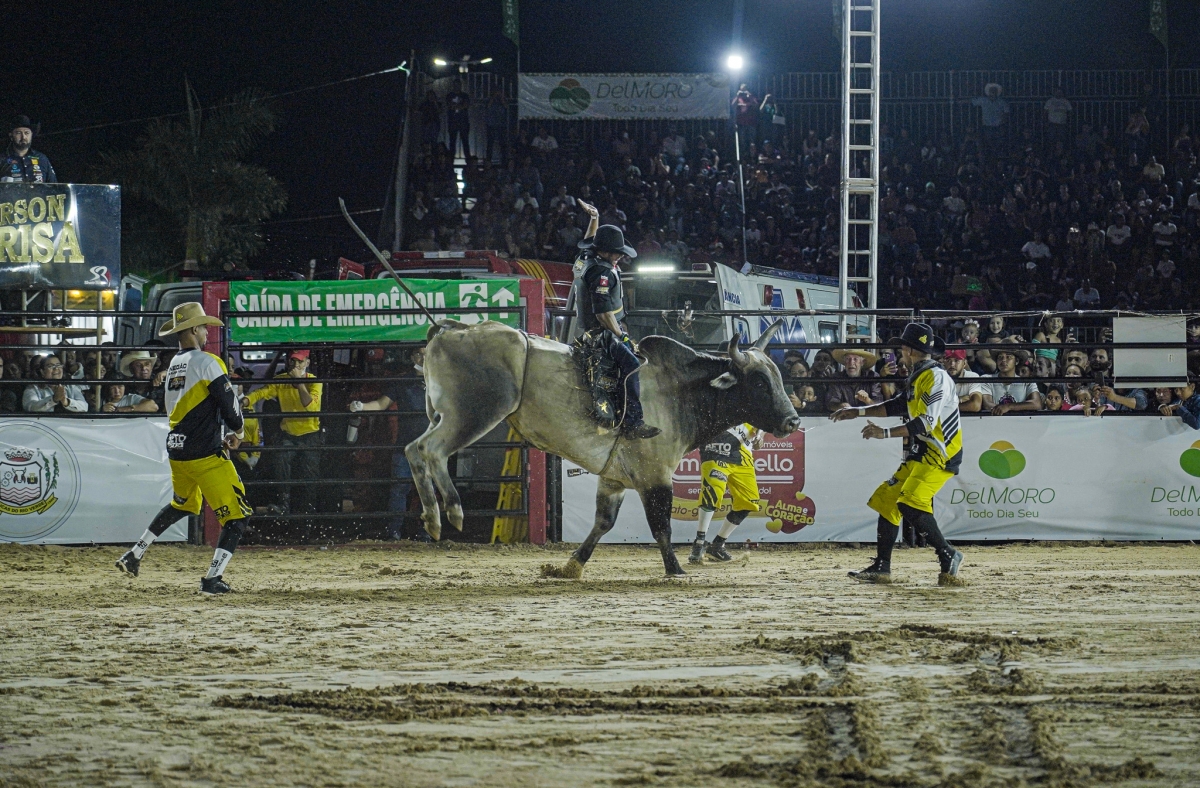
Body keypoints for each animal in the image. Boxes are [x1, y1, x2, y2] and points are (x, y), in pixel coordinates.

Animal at [405, 319, 801, 577]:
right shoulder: (655, 476)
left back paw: (432, 517)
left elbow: (602, 523)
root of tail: (452, 329)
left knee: (413, 450)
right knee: (431, 451)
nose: (793, 421)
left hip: (446, 416)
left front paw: (571, 566)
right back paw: (452, 511)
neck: (677, 392)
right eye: (760, 382)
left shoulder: (614, 480)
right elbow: (661, 525)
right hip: (473, 414)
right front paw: (674, 569)